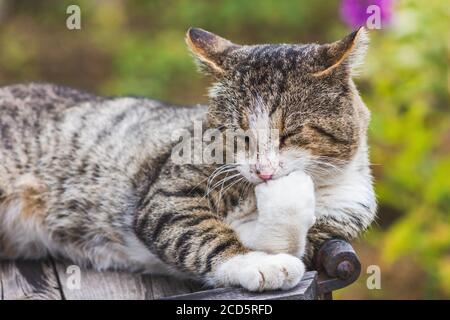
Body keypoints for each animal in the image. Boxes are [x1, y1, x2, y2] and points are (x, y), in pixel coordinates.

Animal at [0, 28, 376, 292]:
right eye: (238, 133)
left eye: (290, 133)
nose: (262, 170)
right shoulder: (167, 193)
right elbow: (202, 234)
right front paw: (260, 264)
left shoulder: (336, 218)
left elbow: (284, 233)